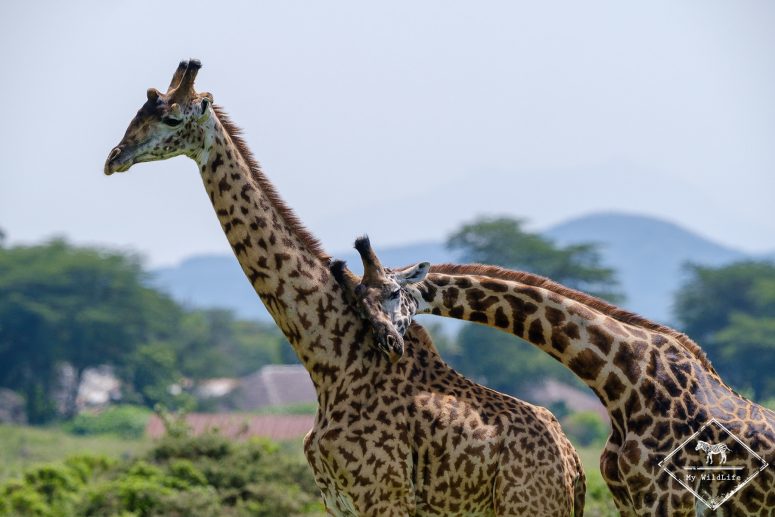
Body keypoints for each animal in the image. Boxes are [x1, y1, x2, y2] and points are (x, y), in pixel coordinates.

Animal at [104, 59, 585, 516]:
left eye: (170, 118)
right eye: (139, 111)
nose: (114, 157)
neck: (329, 362)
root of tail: (574, 466)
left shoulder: (384, 496)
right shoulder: (338, 501)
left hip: (528, 505)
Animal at [333, 238, 775, 516]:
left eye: (394, 293)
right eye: (359, 305)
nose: (388, 342)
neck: (624, 381)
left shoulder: (667, 500)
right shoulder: (629, 500)